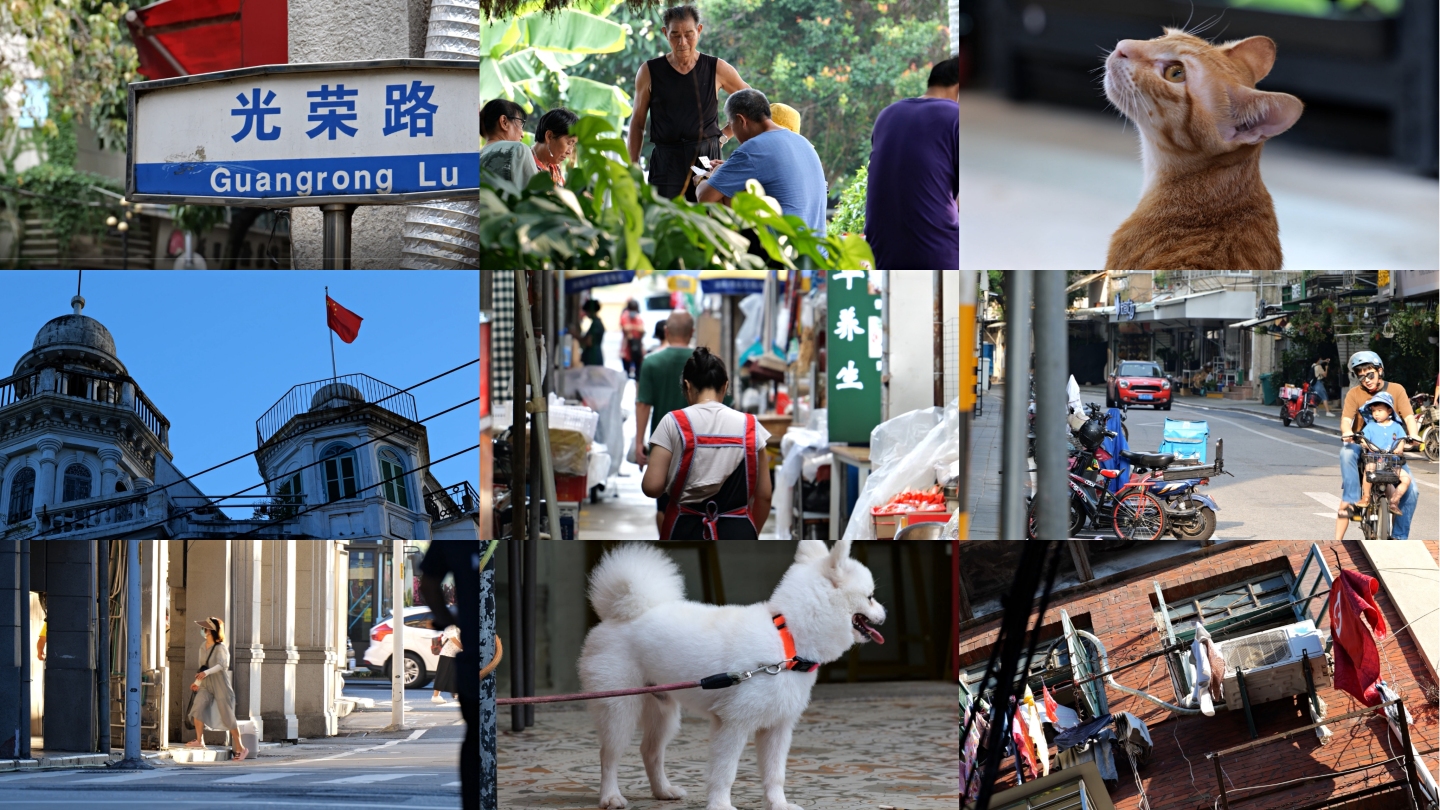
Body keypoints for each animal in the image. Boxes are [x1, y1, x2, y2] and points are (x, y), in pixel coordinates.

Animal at [578, 536, 881, 807]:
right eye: (870, 597)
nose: (884, 611)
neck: (787, 639)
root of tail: (619, 614)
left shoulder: (777, 727)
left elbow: (775, 775)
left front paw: (778, 804)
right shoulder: (733, 724)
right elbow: (725, 772)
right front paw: (721, 805)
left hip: (663, 712)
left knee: (650, 751)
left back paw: (663, 791)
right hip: (619, 708)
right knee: (609, 755)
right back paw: (610, 797)